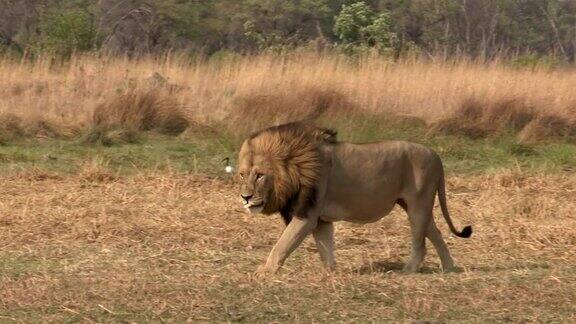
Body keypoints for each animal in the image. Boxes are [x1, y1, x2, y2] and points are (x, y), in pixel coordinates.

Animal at [236, 121, 470, 274]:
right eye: (242, 175)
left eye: (260, 175)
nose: (245, 197)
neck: (296, 167)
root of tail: (436, 156)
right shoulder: (320, 219)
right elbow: (325, 246)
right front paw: (330, 272)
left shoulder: (307, 214)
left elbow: (283, 244)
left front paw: (264, 272)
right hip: (413, 206)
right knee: (435, 232)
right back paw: (449, 268)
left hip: (418, 204)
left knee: (421, 243)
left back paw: (408, 270)